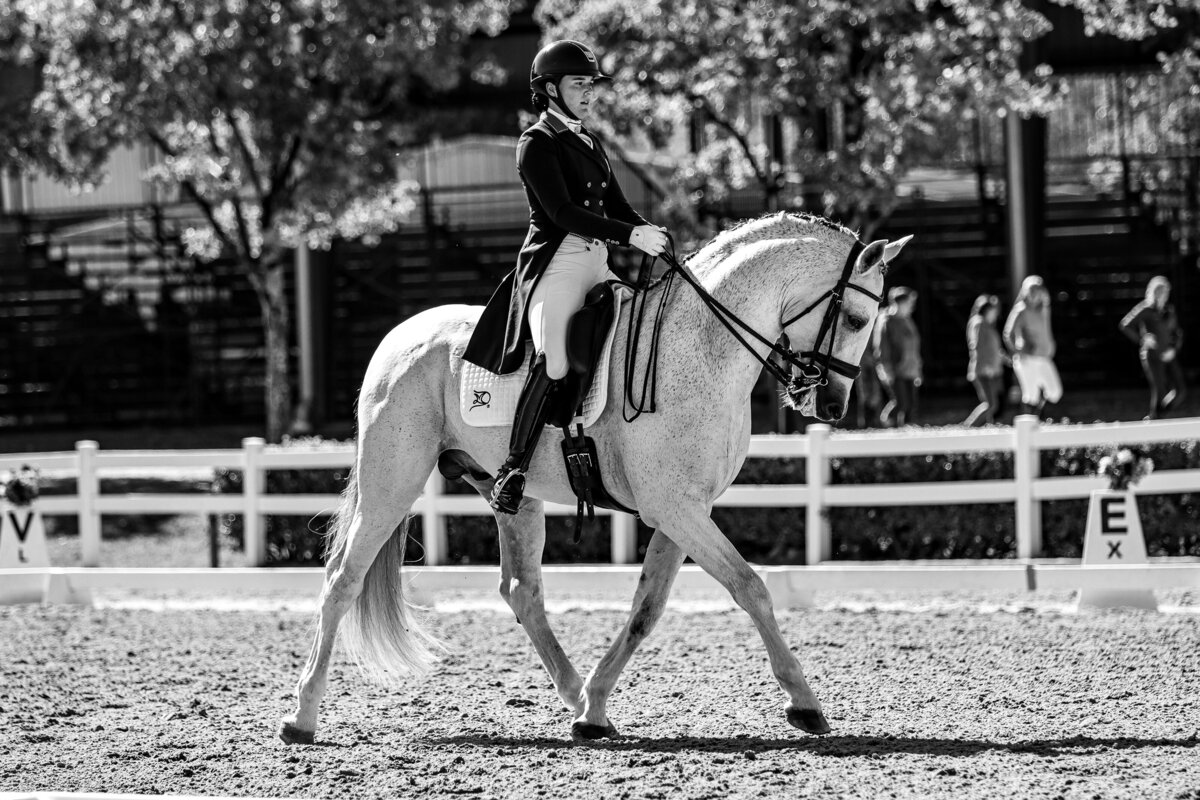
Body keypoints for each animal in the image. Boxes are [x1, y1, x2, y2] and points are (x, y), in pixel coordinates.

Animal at [279, 211, 909, 744]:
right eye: (856, 319)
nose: (830, 406)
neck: (701, 347)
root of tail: (397, 337)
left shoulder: (682, 511)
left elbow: (646, 609)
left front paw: (596, 709)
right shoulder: (677, 509)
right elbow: (750, 587)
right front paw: (805, 703)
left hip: (512, 497)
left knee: (521, 591)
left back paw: (574, 693)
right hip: (392, 483)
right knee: (342, 580)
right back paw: (301, 718)